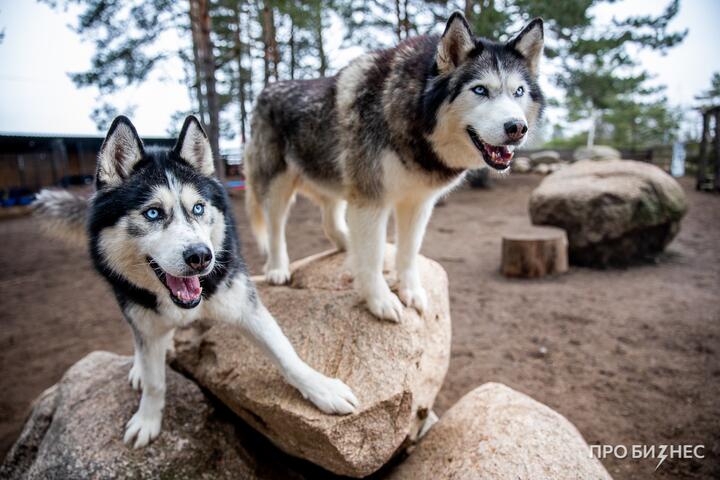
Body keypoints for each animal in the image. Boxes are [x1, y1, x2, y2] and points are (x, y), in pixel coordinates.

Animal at [36, 117, 358, 450]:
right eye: (153, 212)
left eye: (199, 208)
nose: (201, 257)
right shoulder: (143, 319)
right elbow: (154, 380)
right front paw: (147, 418)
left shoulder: (245, 306)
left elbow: (286, 355)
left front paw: (322, 389)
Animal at [245, 12, 544, 322]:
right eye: (480, 90)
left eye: (518, 91)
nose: (516, 128)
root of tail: (264, 91)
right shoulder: (370, 200)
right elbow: (373, 256)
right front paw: (381, 301)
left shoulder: (418, 203)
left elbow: (408, 252)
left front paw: (411, 292)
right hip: (277, 187)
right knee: (275, 229)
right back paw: (277, 269)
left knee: (329, 221)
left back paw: (346, 243)